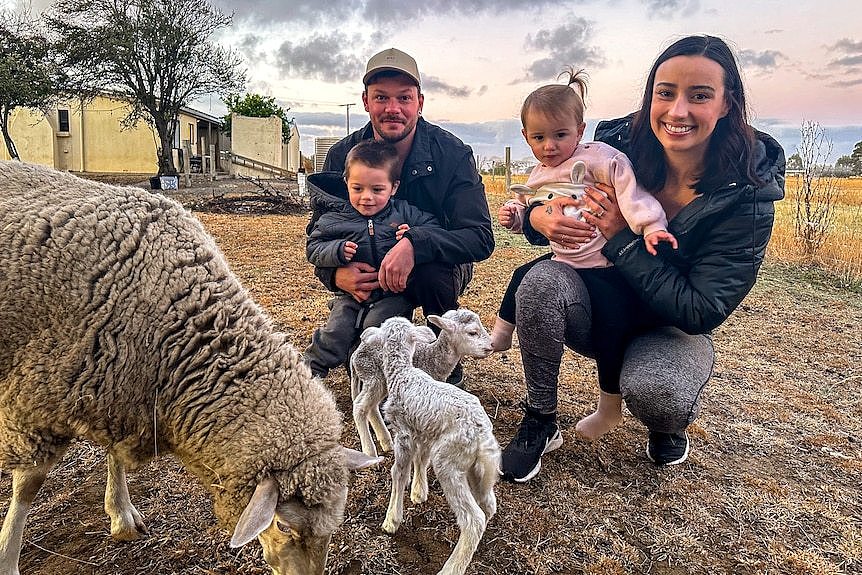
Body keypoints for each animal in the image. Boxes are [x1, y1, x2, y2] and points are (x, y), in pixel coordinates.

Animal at [0, 161, 382, 575]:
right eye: (282, 524)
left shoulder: (114, 384)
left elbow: (114, 452)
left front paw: (120, 513)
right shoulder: (37, 398)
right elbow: (29, 484)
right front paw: (8, 556)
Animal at [348, 310, 492, 460]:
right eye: (472, 332)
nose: (491, 346)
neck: (432, 359)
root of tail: (355, 355)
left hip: (379, 381)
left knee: (372, 408)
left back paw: (386, 442)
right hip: (372, 375)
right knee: (359, 406)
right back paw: (369, 451)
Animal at [374, 318, 502, 575]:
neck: (402, 373)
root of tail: (483, 434)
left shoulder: (403, 434)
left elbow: (398, 472)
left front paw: (392, 519)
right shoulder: (424, 432)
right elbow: (420, 460)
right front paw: (418, 492)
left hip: (449, 461)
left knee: (474, 519)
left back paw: (451, 568)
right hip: (477, 468)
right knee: (488, 505)